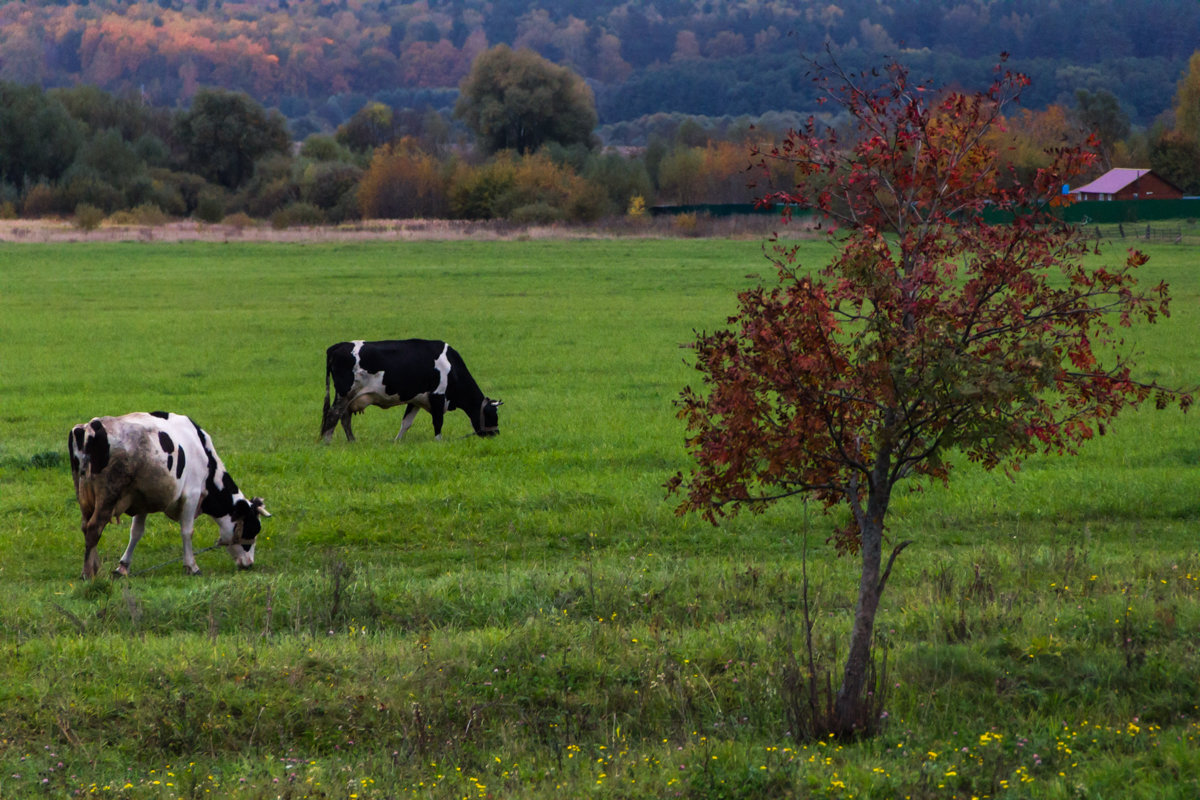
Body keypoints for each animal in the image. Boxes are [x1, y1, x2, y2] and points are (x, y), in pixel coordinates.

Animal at [69, 417, 271, 578]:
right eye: (252, 529)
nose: (249, 564)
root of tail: (90, 427)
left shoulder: (140, 500)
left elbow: (136, 533)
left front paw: (123, 567)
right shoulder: (191, 495)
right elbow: (187, 531)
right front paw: (192, 566)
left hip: (85, 499)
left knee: (85, 527)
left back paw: (95, 567)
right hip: (107, 497)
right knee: (94, 529)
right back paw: (88, 573)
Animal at [319, 335, 501, 441]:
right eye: (492, 415)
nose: (495, 434)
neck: (451, 368)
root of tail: (337, 346)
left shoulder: (415, 400)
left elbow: (406, 423)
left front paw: (397, 442)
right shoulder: (437, 396)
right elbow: (438, 422)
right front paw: (439, 442)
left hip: (349, 397)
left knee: (344, 417)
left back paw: (352, 441)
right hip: (345, 393)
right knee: (333, 415)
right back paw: (327, 442)